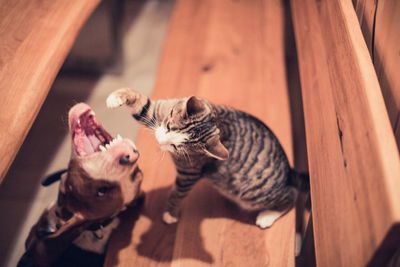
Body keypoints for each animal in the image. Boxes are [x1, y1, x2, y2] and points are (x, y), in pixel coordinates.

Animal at [105, 89, 306, 229]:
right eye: (169, 127)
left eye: (176, 146)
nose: (160, 140)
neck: (216, 118)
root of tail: (289, 170)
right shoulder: (158, 110)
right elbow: (142, 104)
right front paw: (116, 97)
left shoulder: (189, 174)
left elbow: (178, 192)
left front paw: (170, 213)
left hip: (252, 193)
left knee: (291, 195)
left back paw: (267, 216)